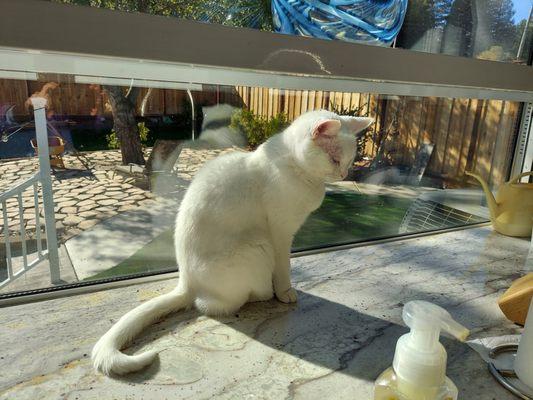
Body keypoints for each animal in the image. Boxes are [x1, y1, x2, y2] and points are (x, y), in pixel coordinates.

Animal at [91, 108, 372, 376]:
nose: (344, 173)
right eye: (334, 159)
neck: (298, 169)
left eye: (350, 160)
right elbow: (284, 268)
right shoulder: (281, 234)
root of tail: (186, 282)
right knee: (210, 305)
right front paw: (285, 292)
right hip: (259, 245)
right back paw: (263, 294)